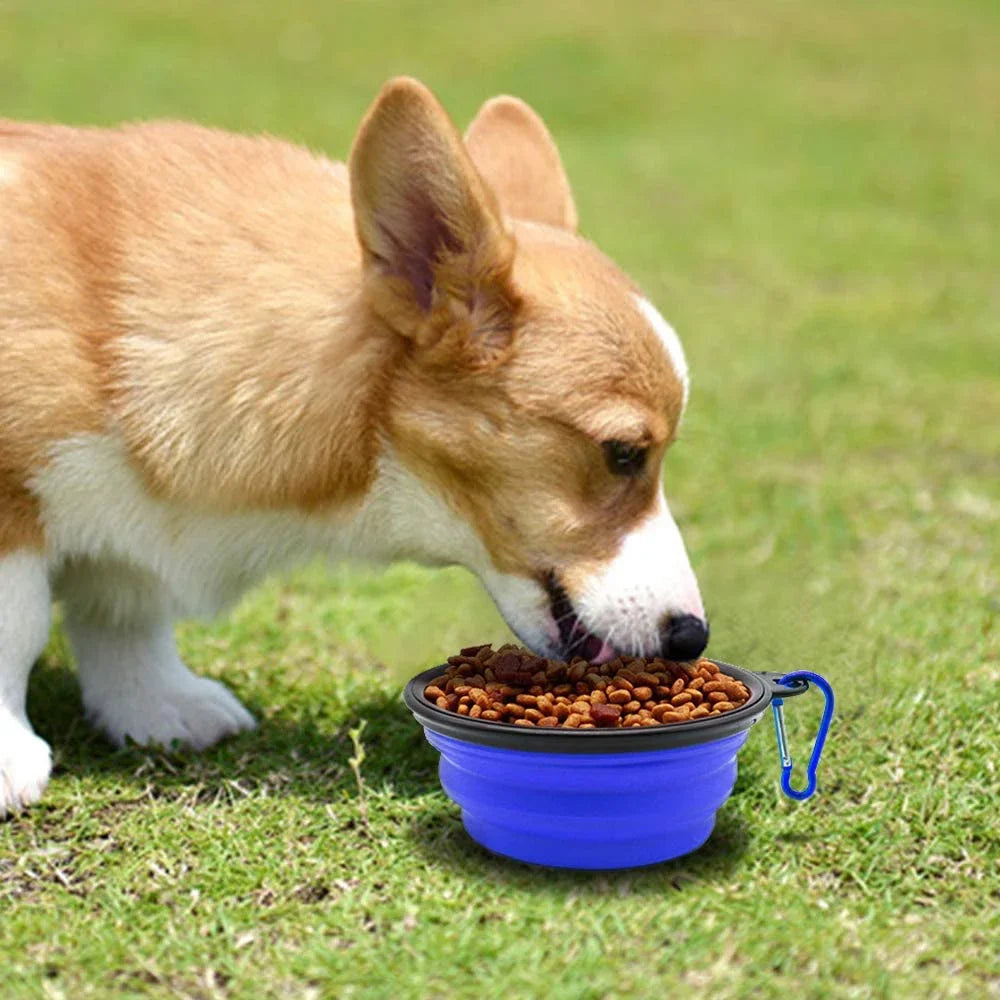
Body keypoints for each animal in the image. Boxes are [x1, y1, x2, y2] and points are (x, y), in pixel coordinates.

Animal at [0, 78, 704, 812]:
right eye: (622, 452)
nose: (693, 637)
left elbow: (125, 612)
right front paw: (11, 759)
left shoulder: (128, 532)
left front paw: (158, 705)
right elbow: (17, 625)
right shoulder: (12, 501)